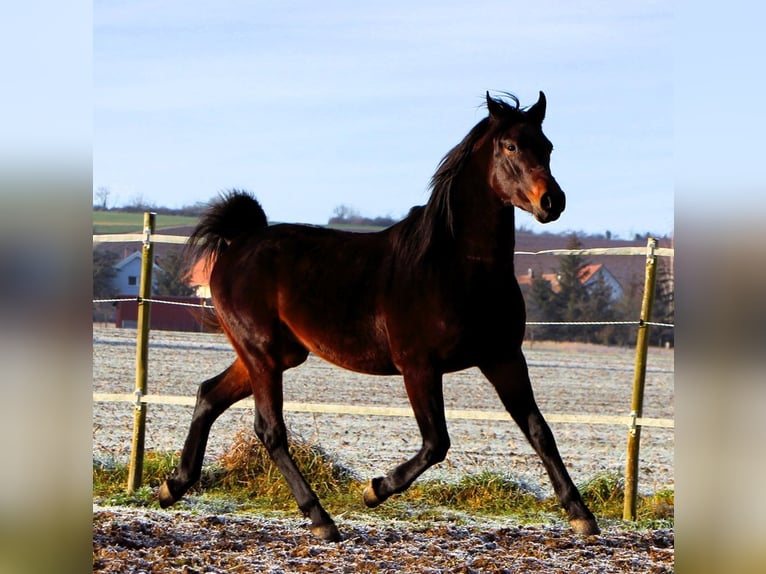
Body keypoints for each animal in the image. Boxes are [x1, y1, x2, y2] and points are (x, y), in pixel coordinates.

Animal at [159, 92, 604, 544]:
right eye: (511, 146)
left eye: (547, 146)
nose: (552, 201)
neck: (458, 267)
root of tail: (238, 244)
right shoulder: (419, 366)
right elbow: (436, 443)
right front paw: (373, 490)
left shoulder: (504, 358)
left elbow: (539, 432)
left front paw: (581, 515)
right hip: (263, 354)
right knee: (270, 430)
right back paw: (321, 519)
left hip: (275, 355)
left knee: (209, 394)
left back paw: (173, 486)